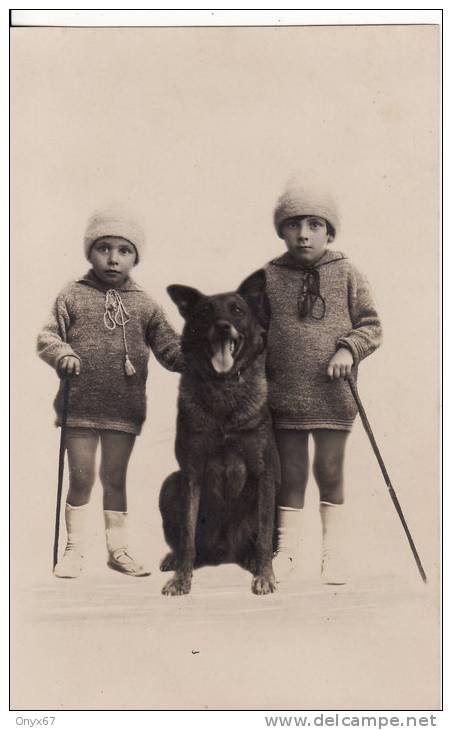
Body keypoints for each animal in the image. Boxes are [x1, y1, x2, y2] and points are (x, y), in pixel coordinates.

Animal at [159, 270, 278, 596]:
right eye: (204, 312)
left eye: (236, 309)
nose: (223, 326)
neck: (223, 387)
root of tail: (225, 553)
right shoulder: (191, 472)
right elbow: (187, 536)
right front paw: (182, 579)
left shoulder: (264, 472)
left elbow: (265, 536)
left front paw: (265, 575)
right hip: (170, 485)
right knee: (191, 544)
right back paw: (175, 559)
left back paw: (251, 559)